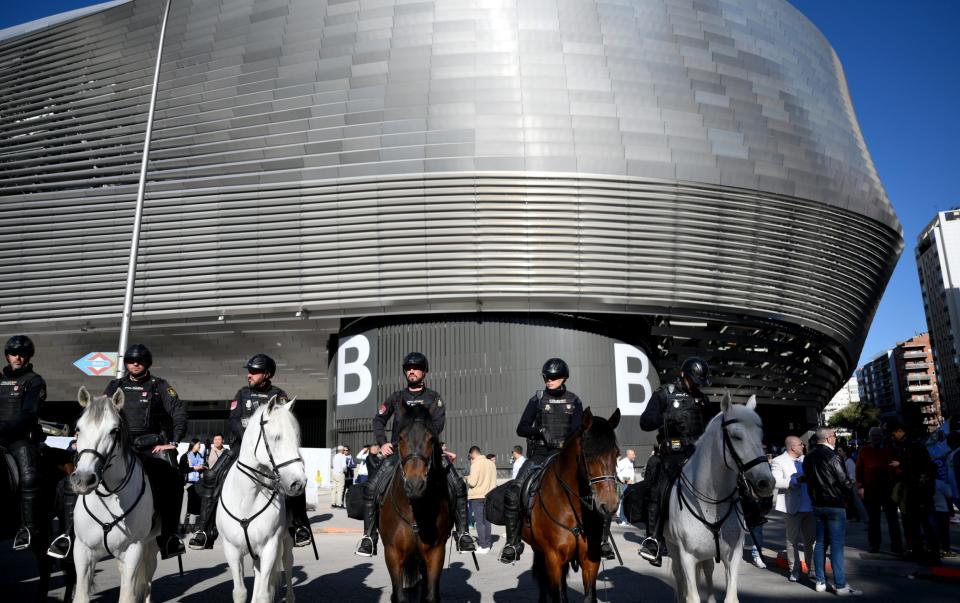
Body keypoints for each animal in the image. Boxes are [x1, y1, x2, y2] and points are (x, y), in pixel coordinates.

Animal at [72, 386, 158, 603]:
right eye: (78, 428)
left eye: (114, 431)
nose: (83, 479)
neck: (108, 497)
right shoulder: (82, 550)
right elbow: (81, 595)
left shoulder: (134, 550)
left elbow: (128, 594)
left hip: (151, 547)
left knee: (147, 584)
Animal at [218, 396, 306, 603]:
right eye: (276, 437)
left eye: (296, 438)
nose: (299, 483)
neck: (247, 499)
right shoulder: (232, 550)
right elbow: (240, 592)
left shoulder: (269, 547)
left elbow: (263, 594)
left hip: (286, 540)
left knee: (287, 564)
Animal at [380, 404, 452, 600]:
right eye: (401, 437)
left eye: (431, 439)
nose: (415, 485)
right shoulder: (392, 553)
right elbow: (398, 596)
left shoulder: (436, 552)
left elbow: (431, 595)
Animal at [524, 408, 624, 600]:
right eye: (587, 454)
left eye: (616, 453)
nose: (609, 505)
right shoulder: (554, 559)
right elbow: (558, 595)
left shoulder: (590, 560)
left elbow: (589, 596)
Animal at [672, 396, 776, 603]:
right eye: (736, 436)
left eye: (761, 436)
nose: (766, 483)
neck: (711, 503)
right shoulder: (687, 556)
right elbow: (692, 595)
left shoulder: (733, 555)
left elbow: (731, 596)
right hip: (673, 550)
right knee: (678, 576)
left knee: (708, 570)